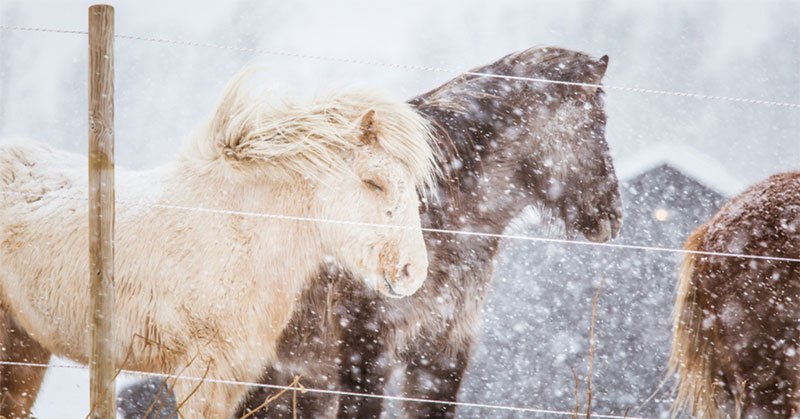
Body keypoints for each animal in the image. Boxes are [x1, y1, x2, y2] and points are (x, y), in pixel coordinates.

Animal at [0, 74, 438, 418]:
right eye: (373, 182)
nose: (412, 272)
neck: (236, 234)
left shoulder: (234, 378)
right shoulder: (200, 374)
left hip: (25, 348)